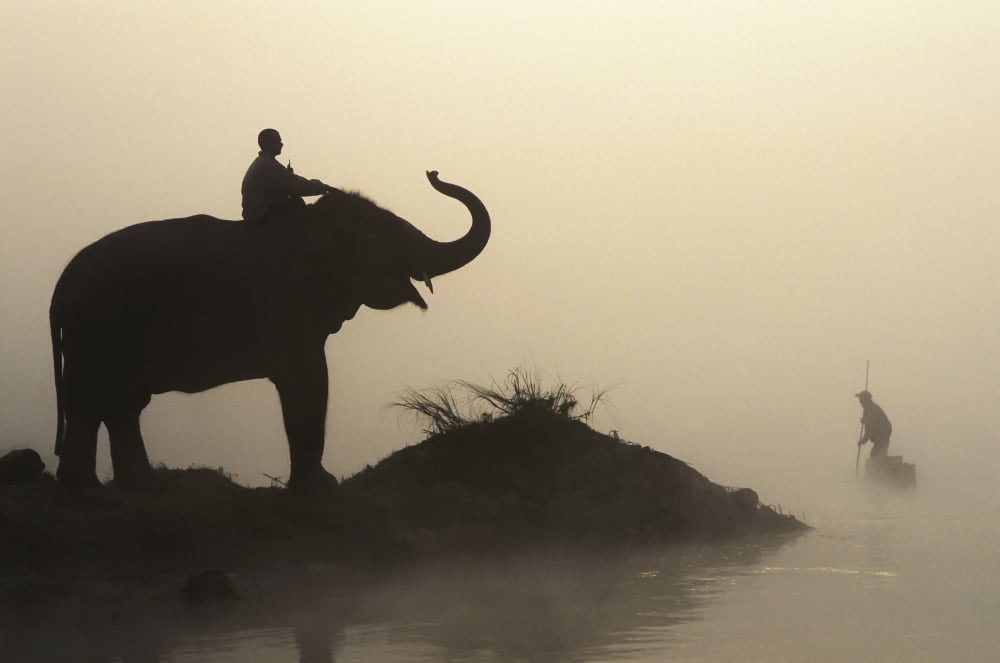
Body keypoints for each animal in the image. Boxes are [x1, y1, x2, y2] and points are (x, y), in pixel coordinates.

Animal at [50, 171, 490, 493]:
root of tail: (59, 290)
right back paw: (86, 491)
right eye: (385, 235)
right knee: (92, 402)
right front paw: (320, 488)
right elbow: (309, 378)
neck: (311, 226)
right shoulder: (283, 305)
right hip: (96, 332)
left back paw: (137, 487)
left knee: (120, 405)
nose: (433, 173)